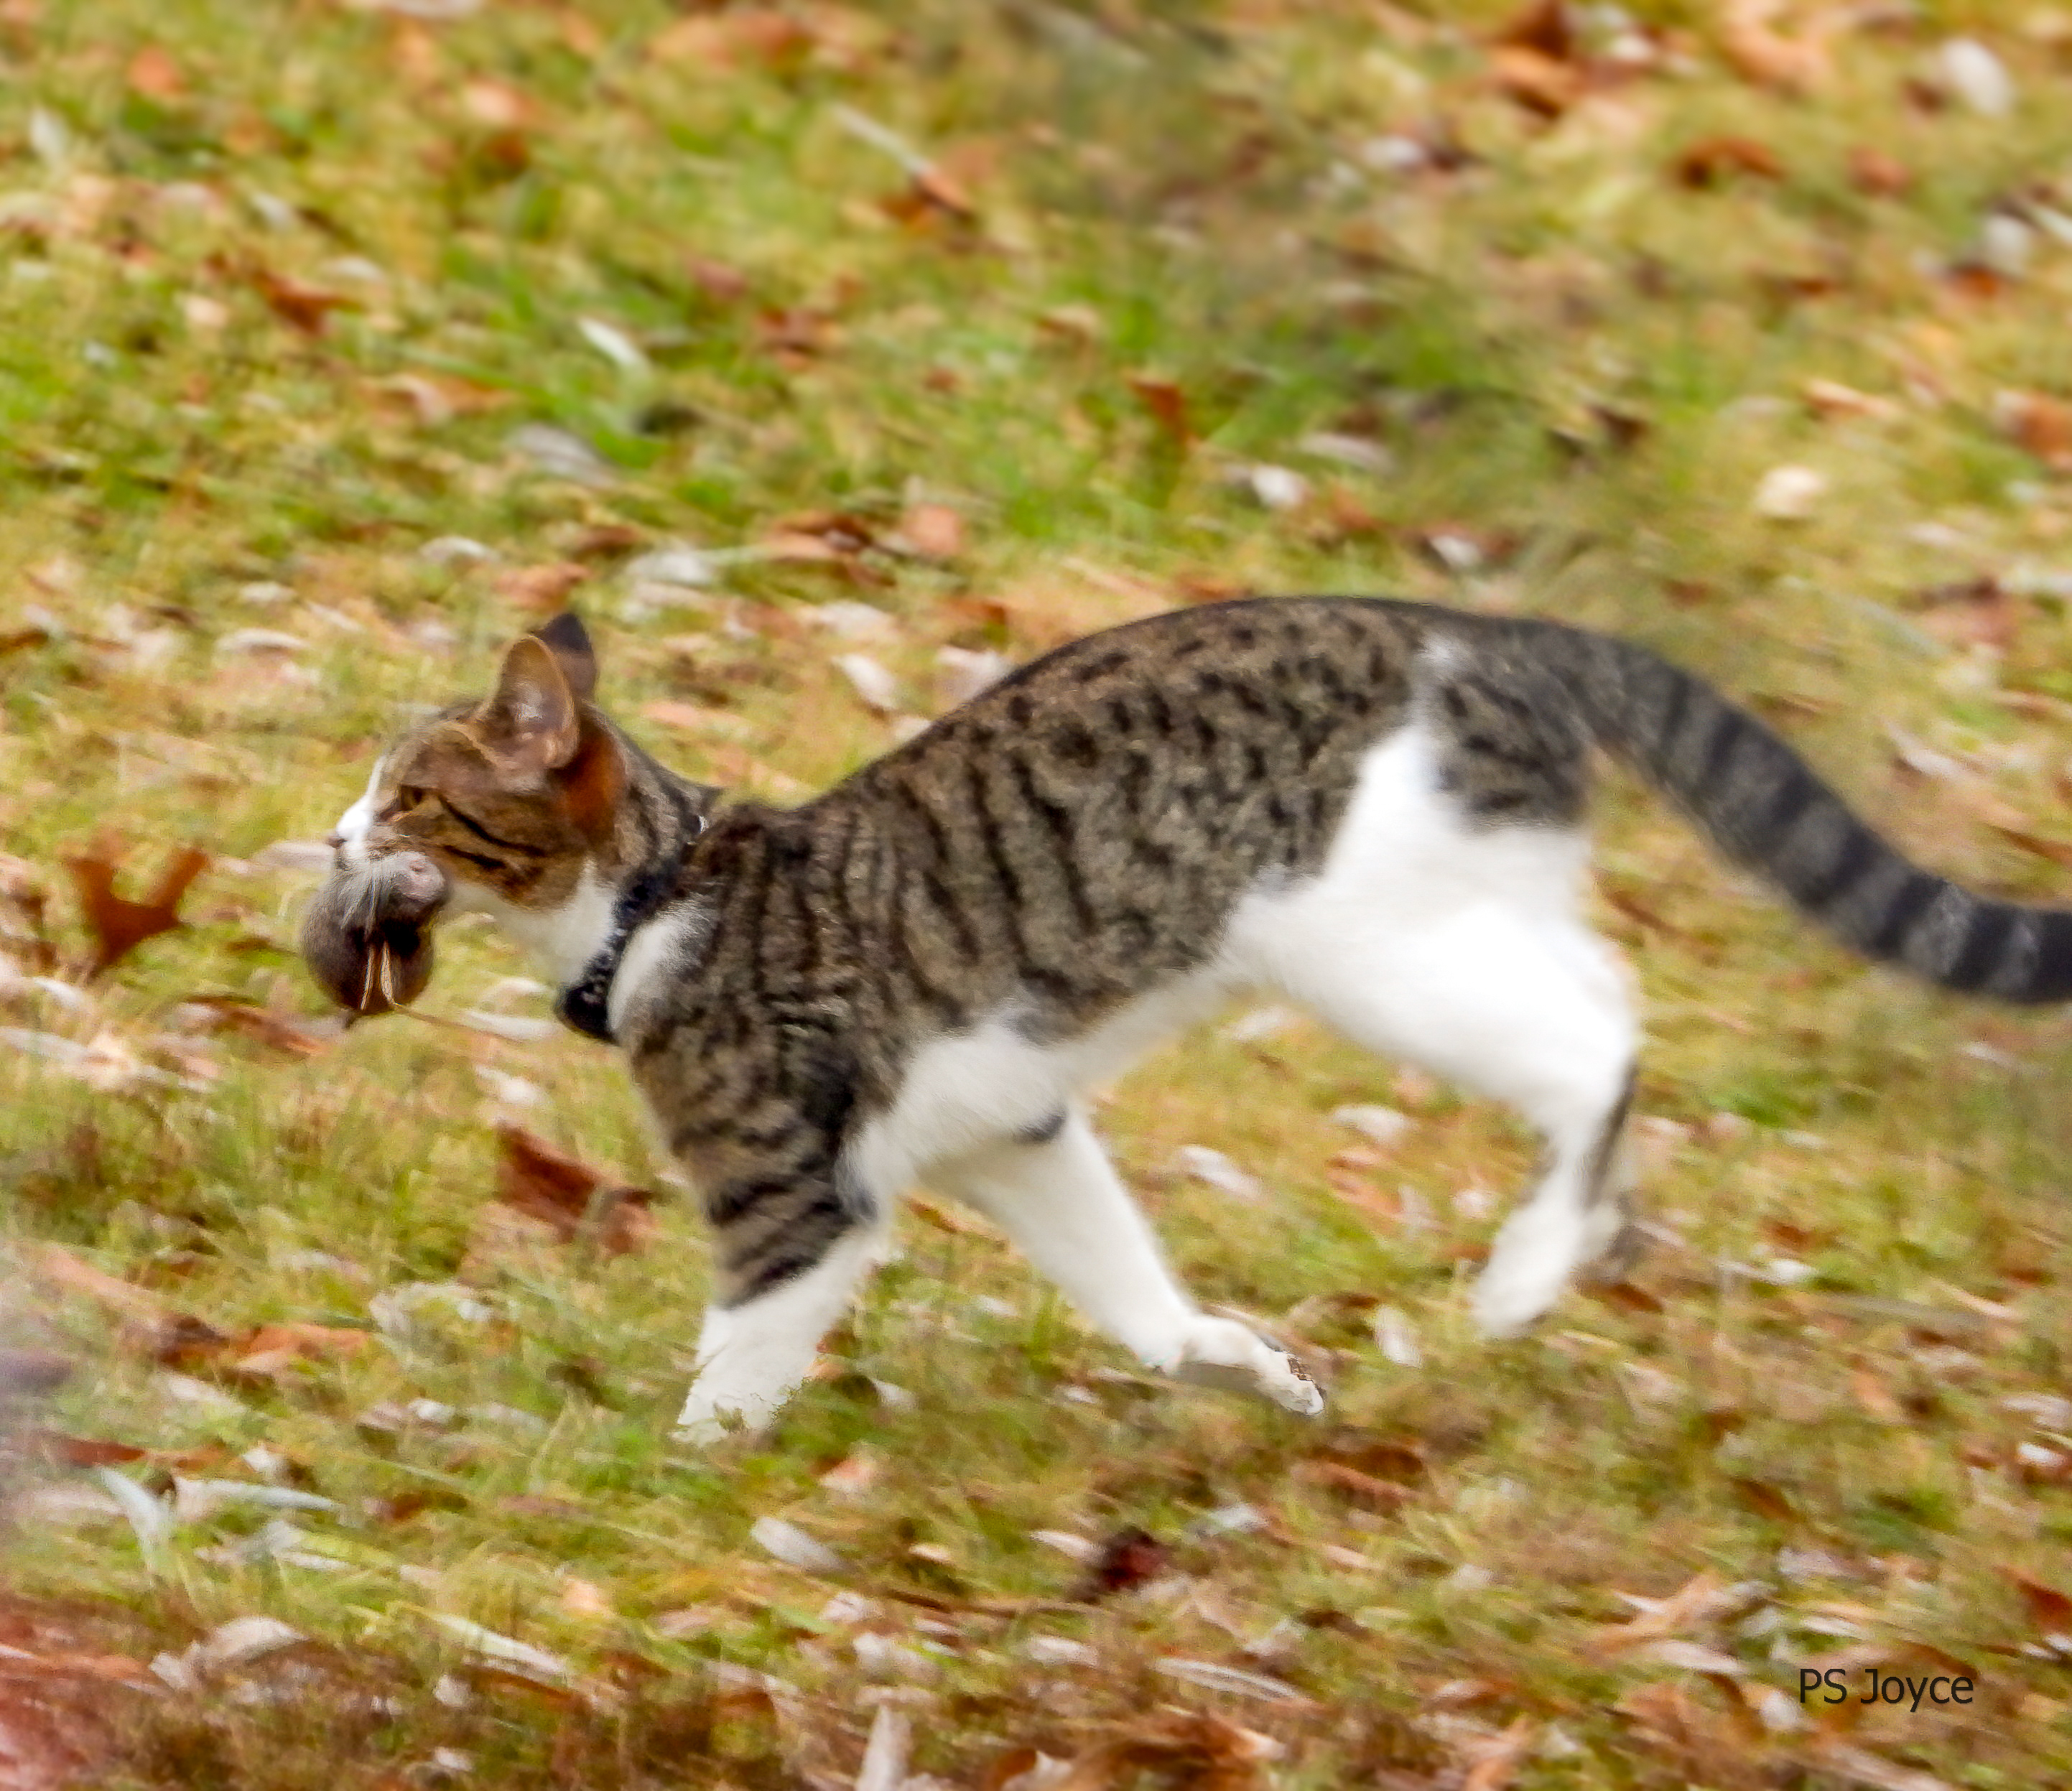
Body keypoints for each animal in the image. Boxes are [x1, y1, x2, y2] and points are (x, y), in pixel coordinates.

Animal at [302, 601, 2072, 1443]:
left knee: (1603, 1034)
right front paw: (1225, 1361)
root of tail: (1493, 632)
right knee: (1604, 995)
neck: (666, 896)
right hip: (1450, 906)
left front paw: (678, 1476)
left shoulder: (794, 1184)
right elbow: (1131, 1293)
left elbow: (739, 1352)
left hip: (1365, 940)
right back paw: (1582, 1233)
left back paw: (1527, 1264)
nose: (328, 834)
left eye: (407, 796)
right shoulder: (1011, 1126)